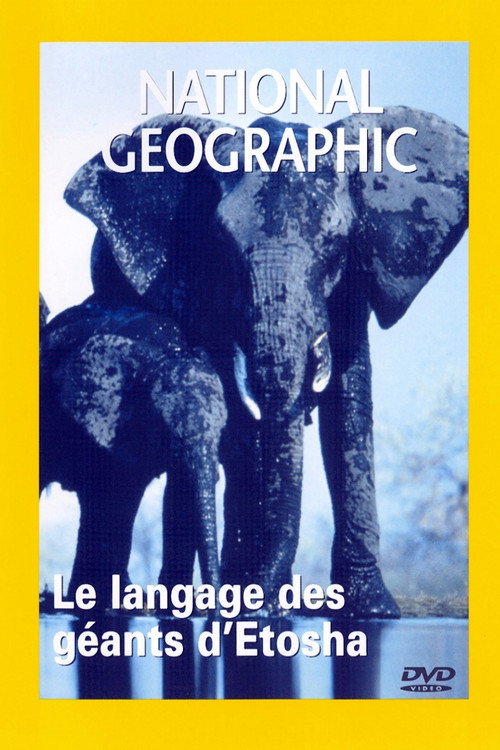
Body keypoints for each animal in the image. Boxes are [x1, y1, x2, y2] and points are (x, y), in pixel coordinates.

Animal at [62, 107, 468, 616]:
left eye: (336, 246)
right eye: (222, 243)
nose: (266, 601)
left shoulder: (358, 274)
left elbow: (347, 407)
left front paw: (370, 609)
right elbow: (242, 420)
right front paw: (257, 604)